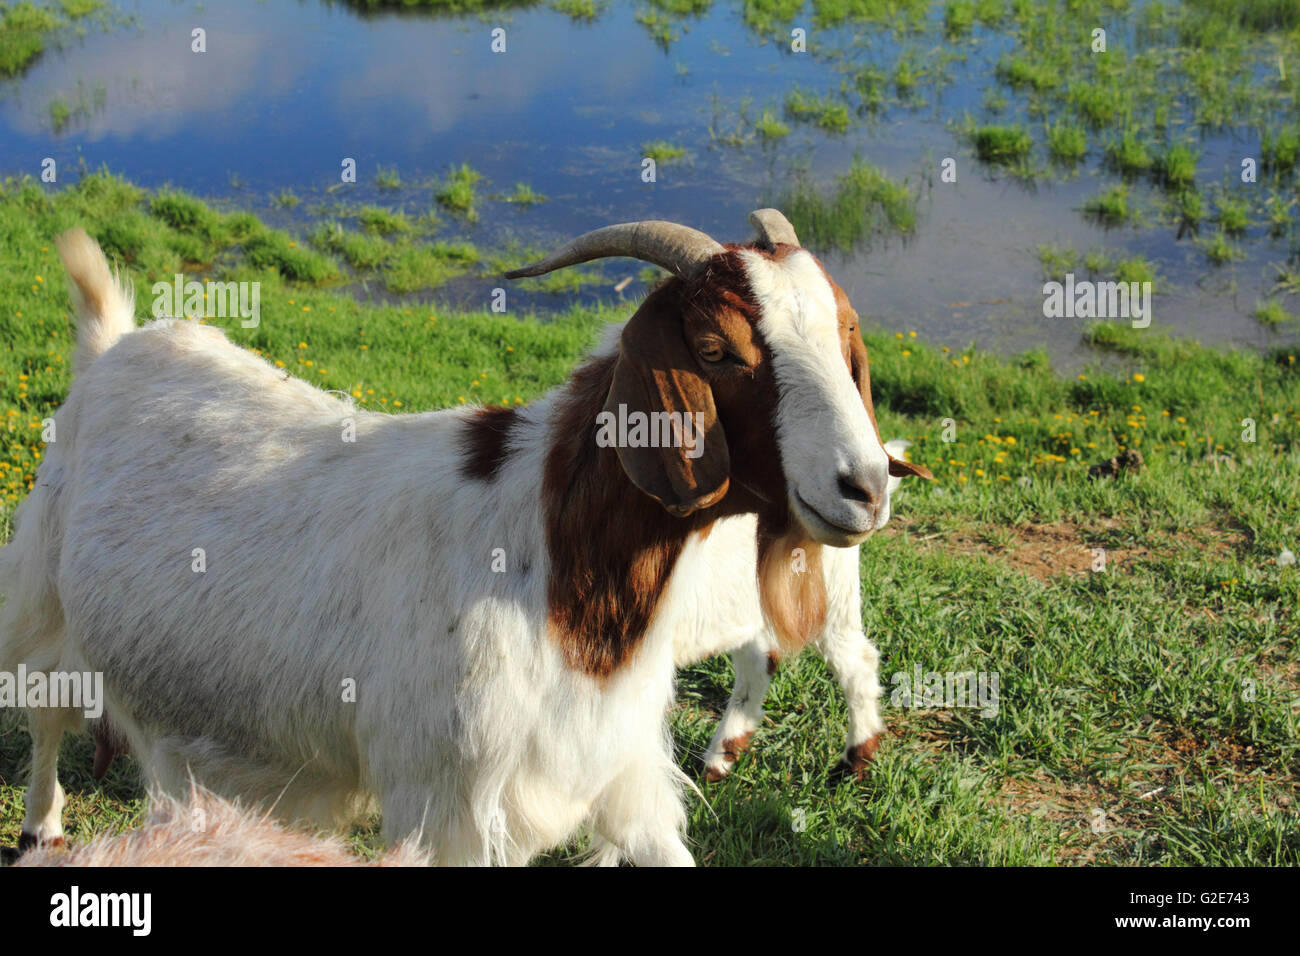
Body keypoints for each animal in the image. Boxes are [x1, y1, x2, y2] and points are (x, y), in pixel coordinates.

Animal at [5, 210, 930, 868]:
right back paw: (44, 827)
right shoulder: (443, 801)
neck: (552, 565)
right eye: (716, 349)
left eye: (845, 334)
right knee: (44, 713)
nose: (864, 486)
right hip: (42, 599)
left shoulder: (618, 773)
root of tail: (112, 343)